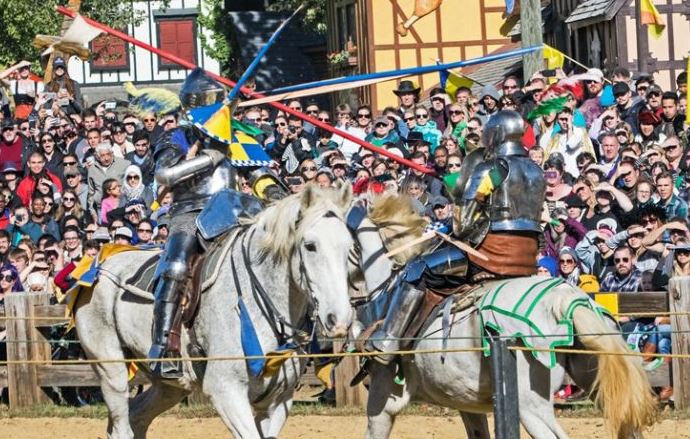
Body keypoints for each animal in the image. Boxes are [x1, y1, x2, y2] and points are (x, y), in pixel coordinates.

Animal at [74, 184, 354, 438]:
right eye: (310, 245)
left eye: (349, 246)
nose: (339, 319)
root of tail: (100, 266)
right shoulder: (226, 391)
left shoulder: (277, 402)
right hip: (111, 370)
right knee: (122, 423)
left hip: (169, 386)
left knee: (137, 417)